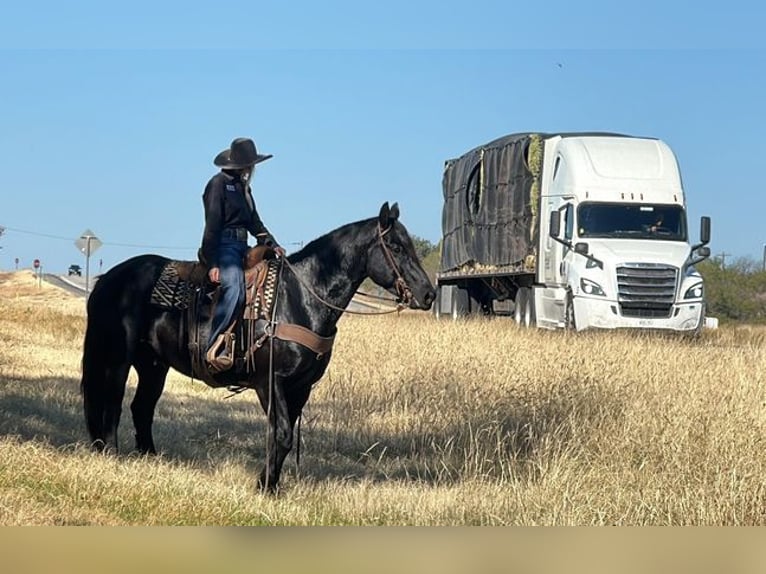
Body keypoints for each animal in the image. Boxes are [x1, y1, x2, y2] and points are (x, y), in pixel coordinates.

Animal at [82, 204, 438, 496]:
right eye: (395, 247)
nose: (428, 294)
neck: (298, 298)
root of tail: (109, 278)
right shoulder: (271, 381)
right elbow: (281, 434)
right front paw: (265, 486)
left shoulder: (301, 386)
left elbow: (282, 436)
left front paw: (272, 485)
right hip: (119, 357)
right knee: (112, 403)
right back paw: (110, 454)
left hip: (154, 365)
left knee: (141, 407)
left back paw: (151, 459)